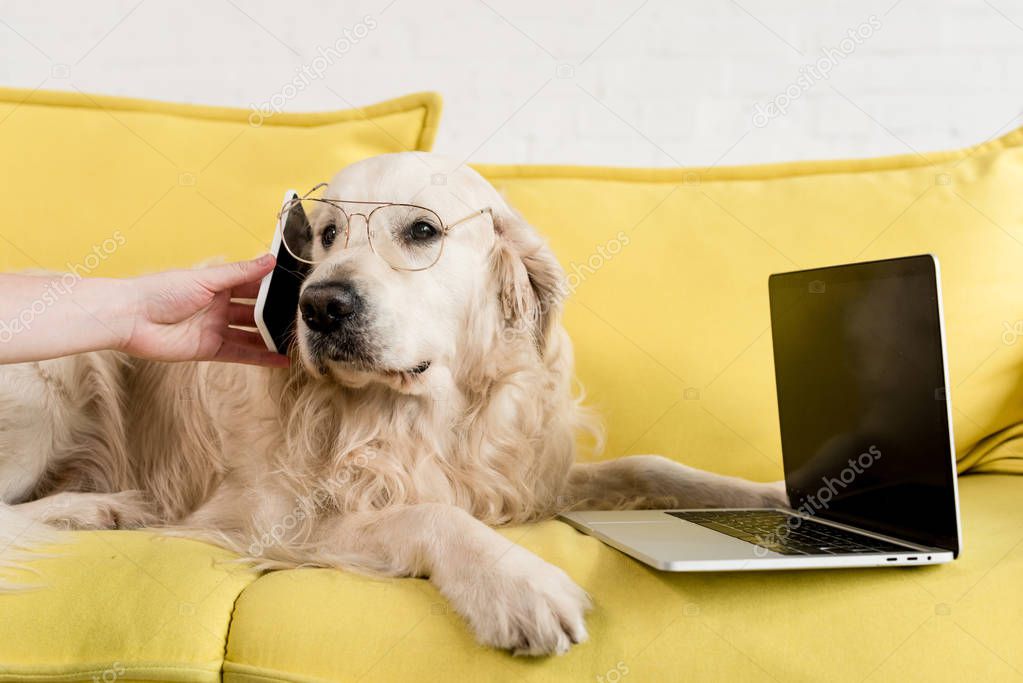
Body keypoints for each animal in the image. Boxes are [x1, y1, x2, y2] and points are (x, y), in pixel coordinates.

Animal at [0, 153, 781, 654]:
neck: (422, 415)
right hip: (59, 375)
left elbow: (651, 465)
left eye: (422, 230)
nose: (319, 305)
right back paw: (97, 509)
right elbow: (427, 513)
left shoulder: (522, 475)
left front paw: (770, 493)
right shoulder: (266, 517)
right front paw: (516, 581)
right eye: (325, 235)